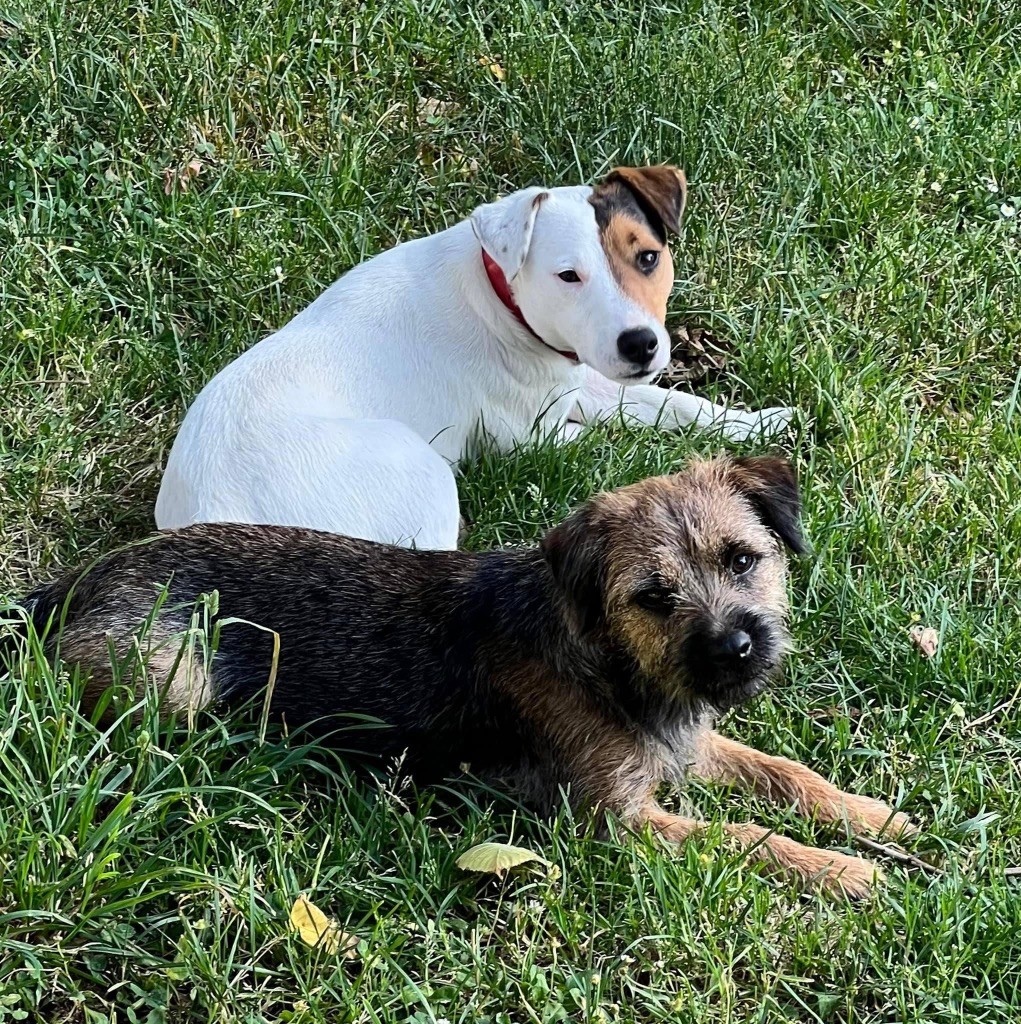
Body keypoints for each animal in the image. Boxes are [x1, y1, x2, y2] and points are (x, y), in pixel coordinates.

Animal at [9, 458, 909, 897]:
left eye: (742, 559)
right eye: (653, 597)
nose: (734, 647)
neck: (606, 661)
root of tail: (65, 589)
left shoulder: (686, 746)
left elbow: (784, 773)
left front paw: (872, 817)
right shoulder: (617, 821)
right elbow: (744, 836)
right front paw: (840, 871)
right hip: (176, 680)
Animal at [157, 165, 790, 552]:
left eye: (648, 257)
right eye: (568, 276)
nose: (641, 344)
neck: (499, 297)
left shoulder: (581, 378)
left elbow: (669, 403)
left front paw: (758, 424)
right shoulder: (532, 436)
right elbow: (617, 439)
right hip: (418, 471)